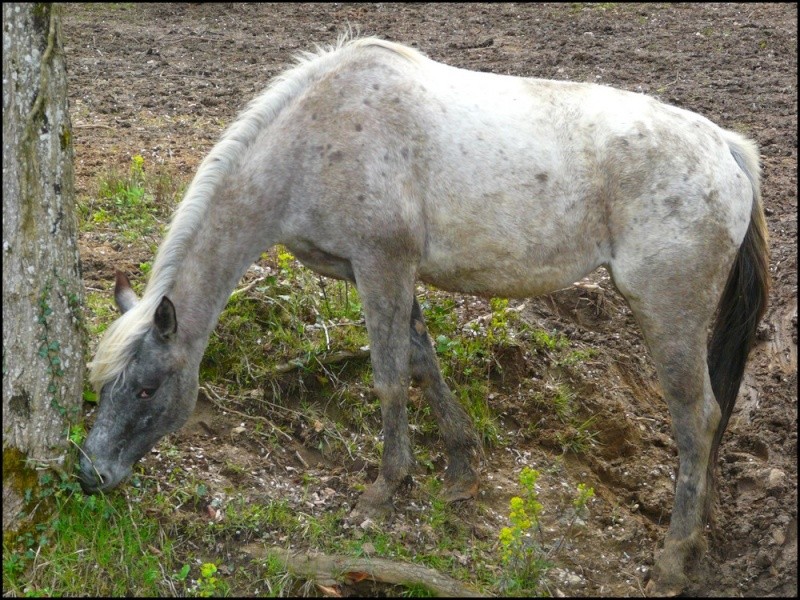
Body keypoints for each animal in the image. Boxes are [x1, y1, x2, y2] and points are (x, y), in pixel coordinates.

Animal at [79, 36, 768, 596]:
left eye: (147, 389)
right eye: (101, 386)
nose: (88, 474)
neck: (315, 140)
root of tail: (727, 149)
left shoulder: (382, 265)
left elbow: (388, 377)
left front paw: (384, 490)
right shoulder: (387, 274)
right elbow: (421, 360)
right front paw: (461, 469)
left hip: (666, 314)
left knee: (698, 419)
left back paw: (673, 558)